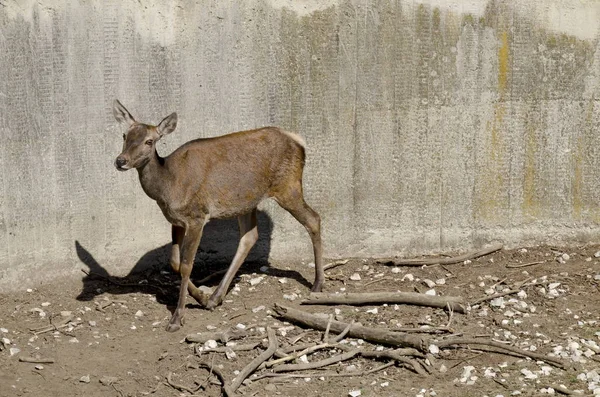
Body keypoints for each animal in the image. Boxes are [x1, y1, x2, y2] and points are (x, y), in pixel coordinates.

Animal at [113, 100, 326, 332]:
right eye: (124, 135)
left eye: (149, 141)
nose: (120, 161)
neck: (168, 188)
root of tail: (299, 141)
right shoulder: (176, 221)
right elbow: (174, 263)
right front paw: (202, 297)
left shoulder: (197, 216)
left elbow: (187, 265)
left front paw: (177, 318)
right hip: (247, 202)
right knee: (249, 237)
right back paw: (216, 297)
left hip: (288, 186)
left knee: (314, 219)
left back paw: (317, 284)